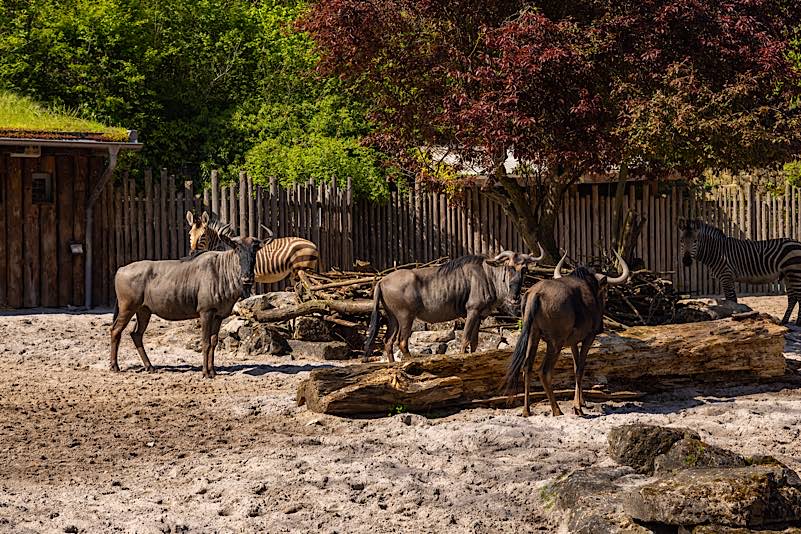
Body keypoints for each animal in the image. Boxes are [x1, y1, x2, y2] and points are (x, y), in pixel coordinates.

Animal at [186, 213, 320, 288]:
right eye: (190, 234)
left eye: (203, 235)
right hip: (295, 273)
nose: (192, 253)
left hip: (303, 270)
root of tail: (313, 244)